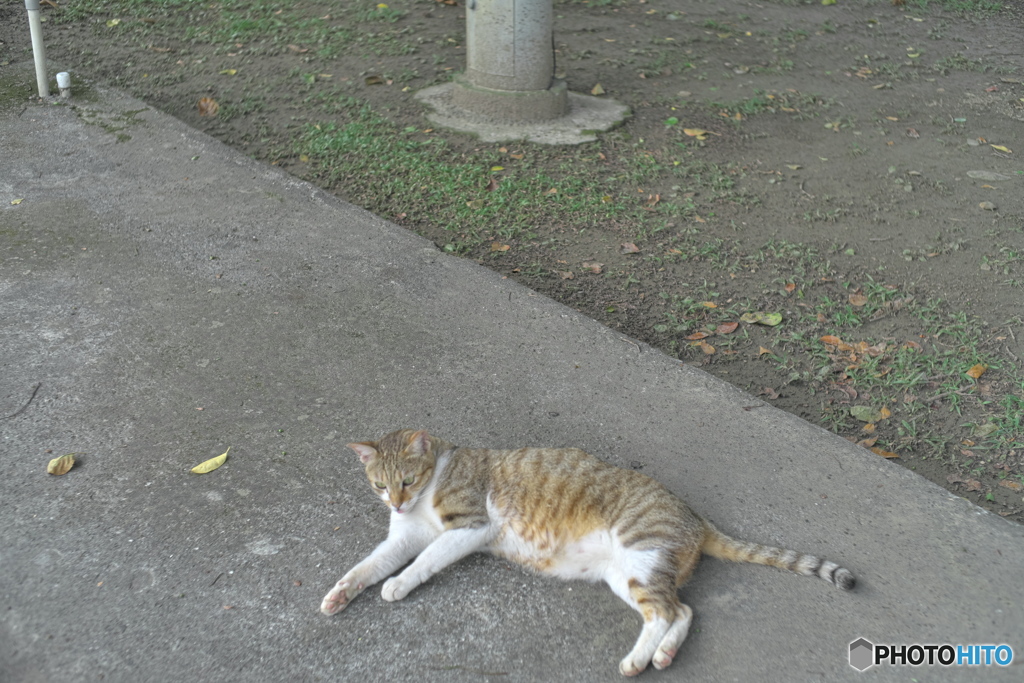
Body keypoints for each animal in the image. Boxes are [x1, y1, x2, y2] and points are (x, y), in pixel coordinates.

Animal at [321, 430, 856, 675]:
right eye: (380, 485)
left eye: (408, 480)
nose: (397, 502)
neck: (430, 488)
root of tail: (695, 516)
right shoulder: (401, 538)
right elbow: (369, 564)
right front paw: (343, 591)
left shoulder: (471, 525)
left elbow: (425, 560)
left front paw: (399, 584)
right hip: (628, 574)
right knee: (681, 609)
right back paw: (661, 655)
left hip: (639, 555)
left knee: (666, 612)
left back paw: (637, 660)